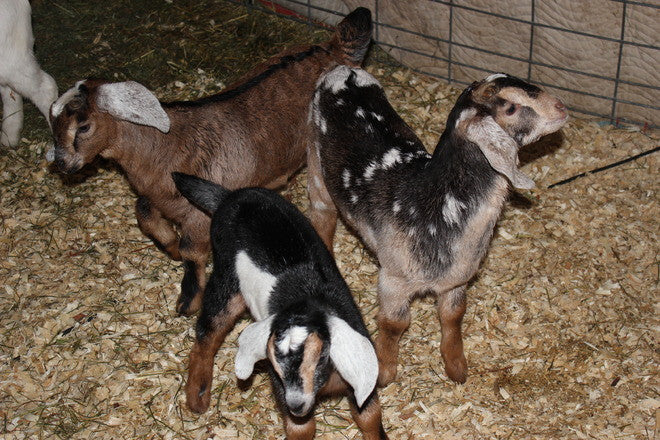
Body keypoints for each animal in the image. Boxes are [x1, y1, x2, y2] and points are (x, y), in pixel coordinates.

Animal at [46, 8, 372, 315]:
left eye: (84, 126)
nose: (62, 163)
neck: (166, 145)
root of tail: (332, 48)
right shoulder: (159, 195)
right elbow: (144, 212)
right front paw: (169, 247)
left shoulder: (198, 214)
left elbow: (191, 252)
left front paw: (188, 300)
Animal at [172, 172, 388, 440]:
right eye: (274, 356)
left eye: (322, 354)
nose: (297, 403)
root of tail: (229, 196)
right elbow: (302, 428)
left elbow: (369, 415)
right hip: (227, 278)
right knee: (209, 328)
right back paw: (197, 397)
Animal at [307, 67, 568, 386]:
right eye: (510, 107)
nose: (561, 107)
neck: (434, 205)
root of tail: (344, 70)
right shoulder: (393, 277)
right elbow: (394, 323)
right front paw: (384, 372)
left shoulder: (456, 279)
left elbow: (453, 315)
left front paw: (456, 368)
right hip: (314, 161)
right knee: (322, 214)